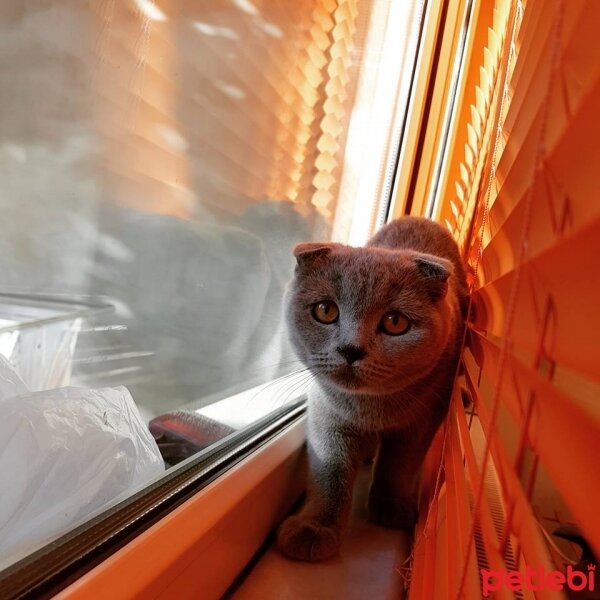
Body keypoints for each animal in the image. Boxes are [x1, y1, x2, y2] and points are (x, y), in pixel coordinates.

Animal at [276, 217, 468, 564]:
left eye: (395, 322)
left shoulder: (423, 418)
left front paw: (390, 506)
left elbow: (400, 463)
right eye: (325, 310)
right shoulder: (327, 411)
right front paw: (314, 527)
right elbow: (330, 469)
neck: (371, 407)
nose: (350, 349)